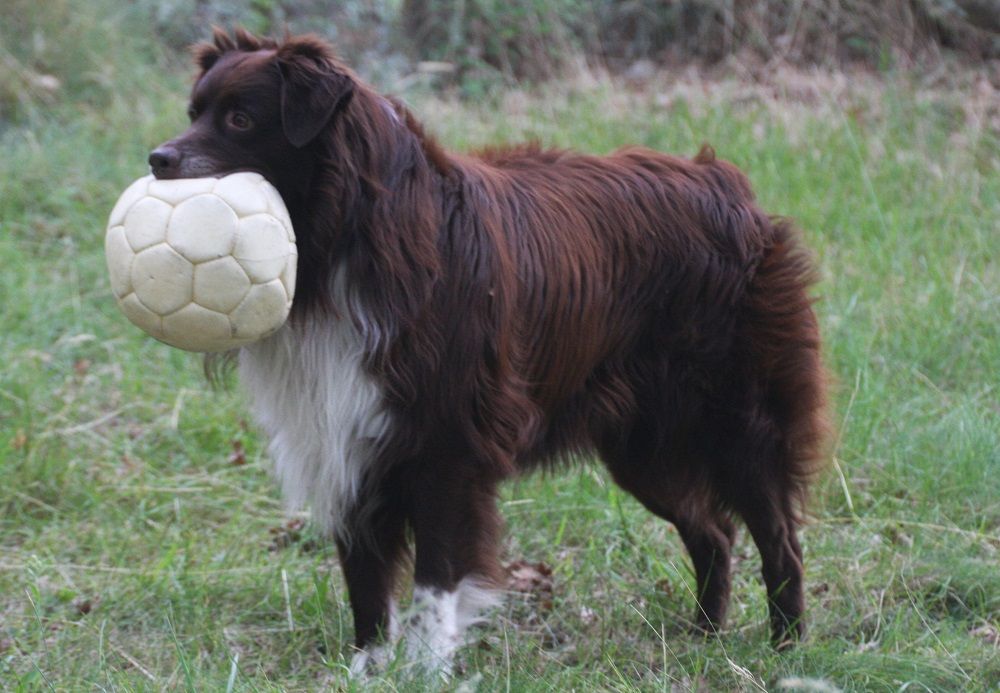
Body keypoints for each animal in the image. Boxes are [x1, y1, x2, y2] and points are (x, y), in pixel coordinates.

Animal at [148, 29, 832, 672]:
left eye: (241, 119)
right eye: (193, 111)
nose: (156, 159)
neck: (347, 242)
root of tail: (727, 185)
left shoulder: (448, 442)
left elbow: (436, 575)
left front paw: (426, 666)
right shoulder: (345, 435)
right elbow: (366, 575)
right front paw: (368, 666)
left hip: (737, 416)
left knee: (778, 535)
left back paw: (786, 645)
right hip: (644, 445)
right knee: (713, 531)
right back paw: (704, 637)